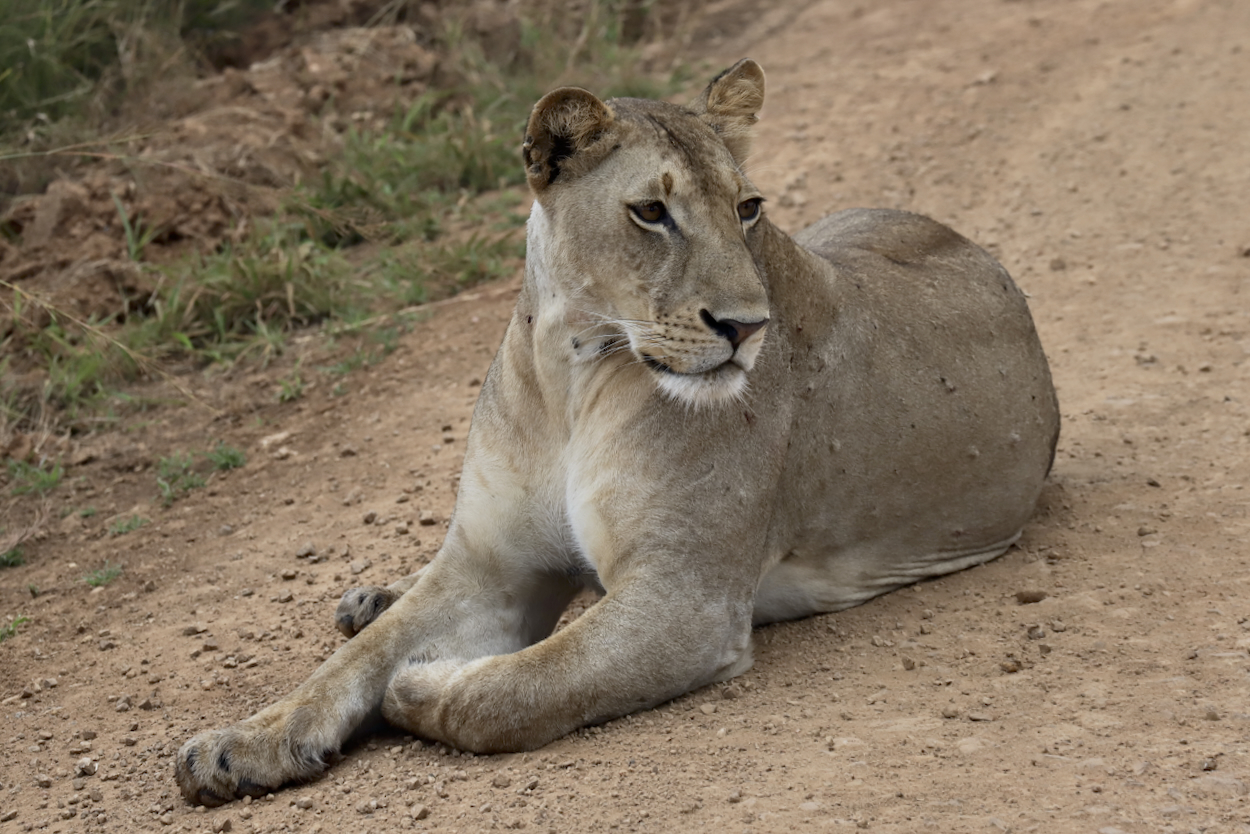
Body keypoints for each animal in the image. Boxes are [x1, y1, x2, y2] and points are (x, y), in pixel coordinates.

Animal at [173, 61, 1055, 805]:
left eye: (747, 208)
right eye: (651, 212)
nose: (748, 327)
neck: (570, 373)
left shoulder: (684, 601)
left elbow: (513, 688)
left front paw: (424, 683)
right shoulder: (492, 565)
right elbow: (350, 663)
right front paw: (237, 745)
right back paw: (369, 596)